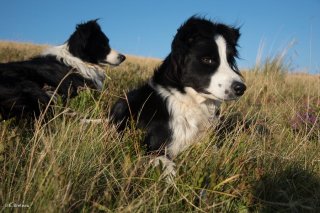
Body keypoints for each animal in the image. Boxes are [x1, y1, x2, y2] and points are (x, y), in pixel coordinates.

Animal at [111, 16, 246, 179]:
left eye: (229, 60)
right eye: (207, 60)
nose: (241, 88)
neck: (188, 101)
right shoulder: (153, 148)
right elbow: (169, 167)